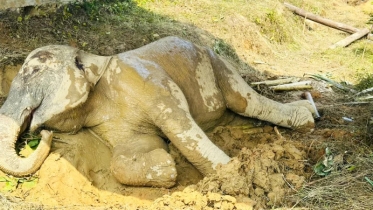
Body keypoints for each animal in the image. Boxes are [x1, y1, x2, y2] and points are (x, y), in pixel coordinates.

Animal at [0, 36, 314, 189]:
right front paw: (165, 162)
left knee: (246, 102)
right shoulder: (109, 125)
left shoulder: (149, 85)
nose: (44, 135)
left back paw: (307, 120)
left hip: (215, 61)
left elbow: (181, 129)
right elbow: (126, 156)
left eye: (33, 72)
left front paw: (232, 177)